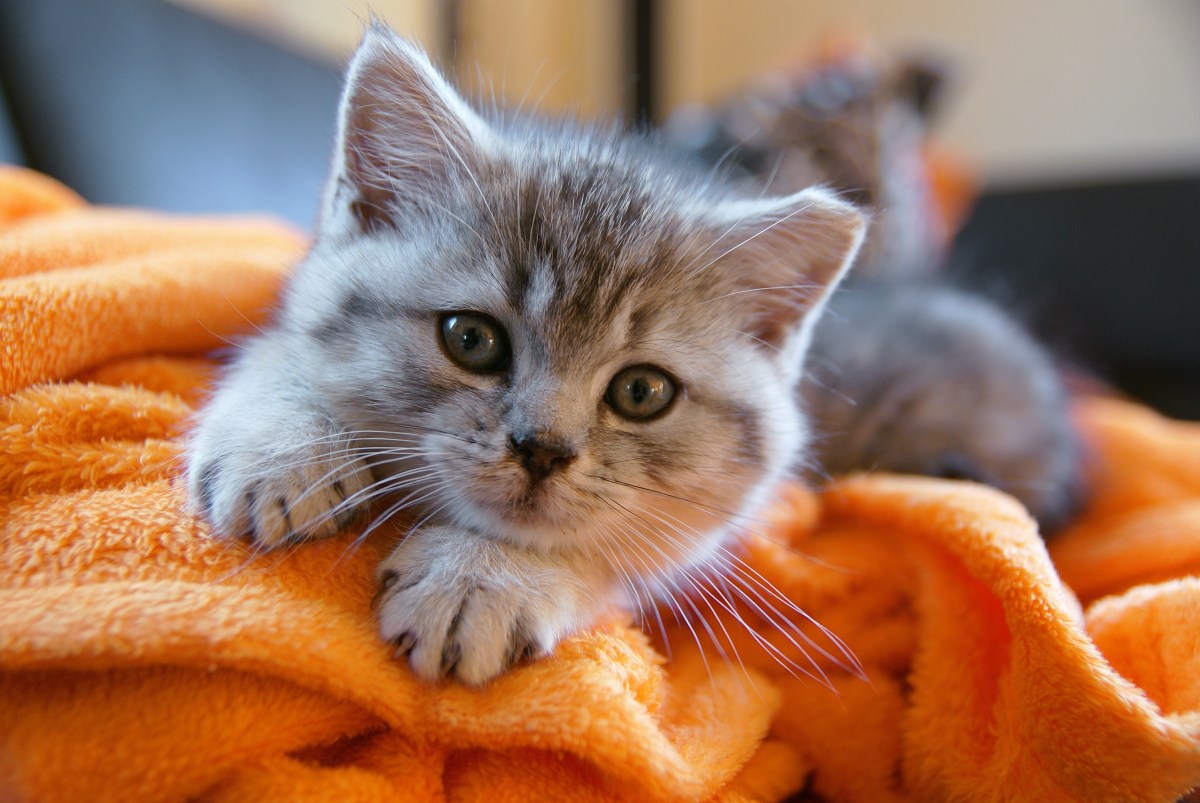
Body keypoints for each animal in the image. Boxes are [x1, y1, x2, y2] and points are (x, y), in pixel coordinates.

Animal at [184, 28, 864, 686]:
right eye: (470, 339)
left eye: (642, 392)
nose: (542, 450)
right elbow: (282, 346)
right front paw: (283, 448)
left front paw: (483, 575)